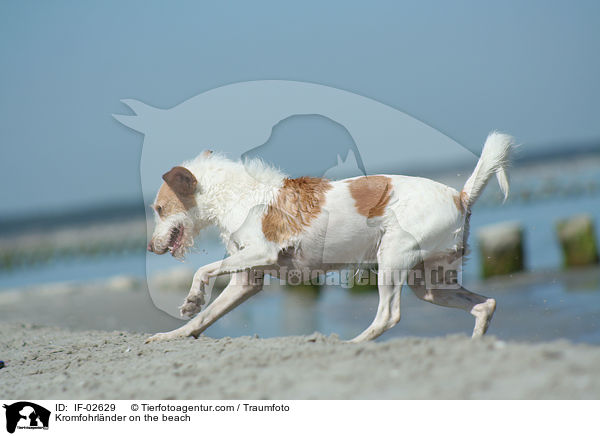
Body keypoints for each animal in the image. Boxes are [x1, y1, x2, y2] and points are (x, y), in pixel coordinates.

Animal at [144, 131, 510, 342]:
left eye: (159, 209)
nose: (149, 246)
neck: (237, 195)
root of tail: (460, 196)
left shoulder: (262, 252)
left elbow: (201, 271)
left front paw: (193, 298)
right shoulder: (245, 280)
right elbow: (206, 316)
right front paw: (174, 334)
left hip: (392, 259)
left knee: (388, 315)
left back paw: (352, 344)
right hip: (431, 284)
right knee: (485, 305)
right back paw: (477, 342)